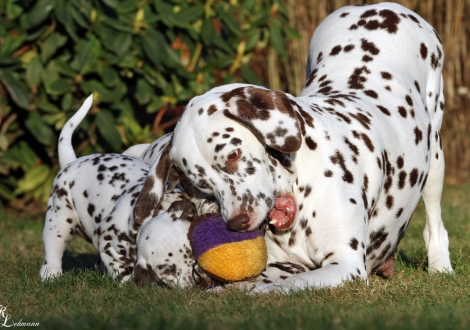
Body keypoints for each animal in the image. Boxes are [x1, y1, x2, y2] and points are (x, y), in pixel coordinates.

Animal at [131, 1, 452, 292]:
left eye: (233, 155)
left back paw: (440, 265)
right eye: (201, 184)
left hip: (435, 161)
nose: (237, 222)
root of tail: (378, 7)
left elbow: (279, 287)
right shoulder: (280, 264)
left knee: (435, 223)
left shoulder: (345, 265)